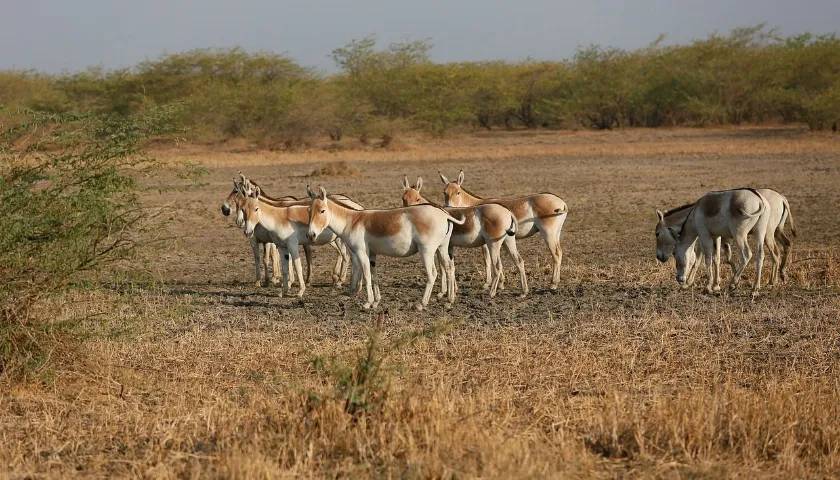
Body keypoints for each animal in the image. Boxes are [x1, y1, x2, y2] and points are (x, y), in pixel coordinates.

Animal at [306, 186, 466, 310]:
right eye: (309, 211)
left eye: (322, 210)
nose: (311, 235)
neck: (352, 221)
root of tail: (444, 215)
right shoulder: (372, 254)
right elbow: (374, 276)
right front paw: (376, 302)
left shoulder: (361, 252)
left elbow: (367, 275)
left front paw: (367, 303)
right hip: (442, 247)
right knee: (449, 268)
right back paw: (449, 301)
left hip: (427, 251)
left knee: (432, 274)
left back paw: (421, 304)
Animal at [436, 170, 568, 288]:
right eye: (444, 192)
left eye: (458, 192)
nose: (448, 207)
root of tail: (561, 202)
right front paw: (499, 283)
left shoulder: (487, 242)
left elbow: (487, 260)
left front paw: (489, 283)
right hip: (556, 233)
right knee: (560, 252)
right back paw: (555, 281)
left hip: (548, 233)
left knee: (556, 254)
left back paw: (553, 284)